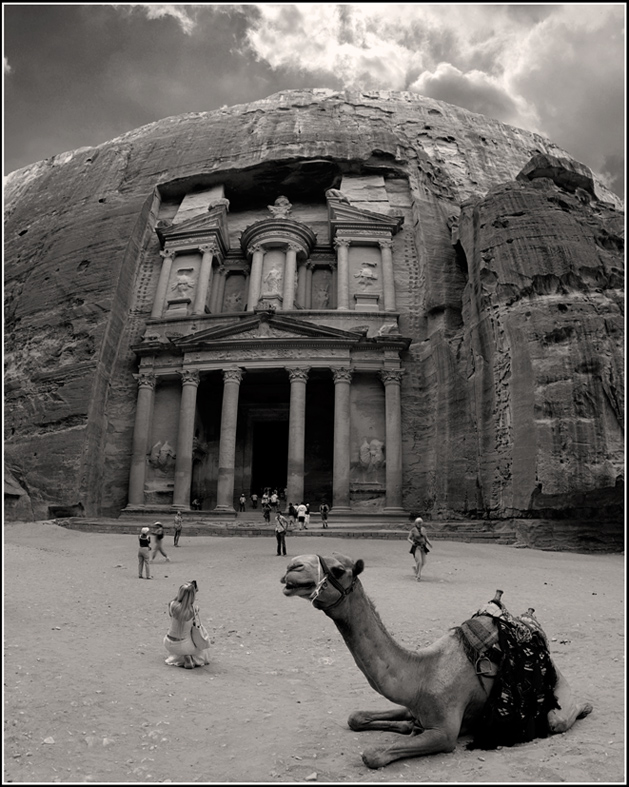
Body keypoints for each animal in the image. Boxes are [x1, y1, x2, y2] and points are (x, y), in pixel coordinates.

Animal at [281, 553, 593, 769]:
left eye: (337, 570)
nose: (292, 567)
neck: (422, 673)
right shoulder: (413, 706)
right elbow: (355, 717)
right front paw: (405, 727)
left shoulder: (444, 733)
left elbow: (372, 755)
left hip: (557, 706)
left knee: (558, 719)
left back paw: (586, 707)